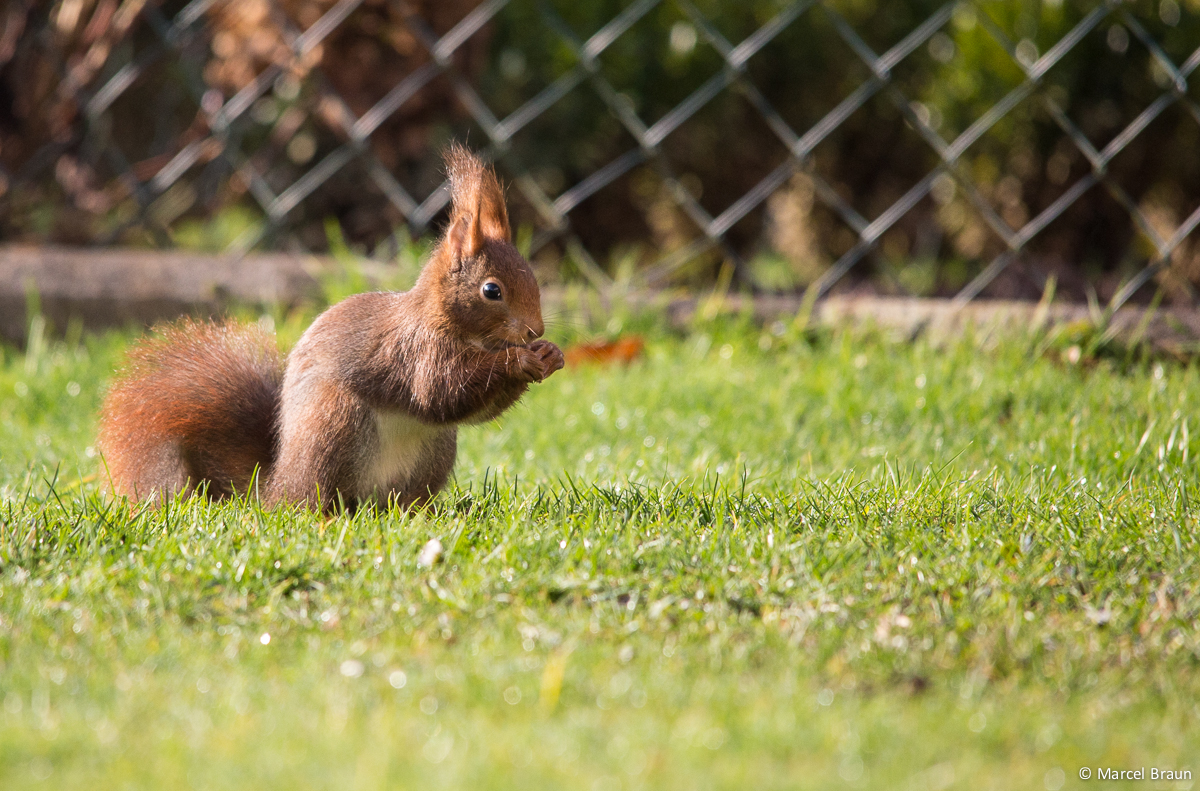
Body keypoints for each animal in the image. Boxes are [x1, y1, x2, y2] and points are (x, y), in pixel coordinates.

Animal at [96, 144, 564, 513]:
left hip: (434, 453)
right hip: (335, 423)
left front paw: (550, 354)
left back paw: (415, 513)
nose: (534, 330)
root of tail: (274, 486)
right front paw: (519, 360)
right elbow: (441, 392)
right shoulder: (413, 353)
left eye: (534, 279)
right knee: (313, 502)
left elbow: (475, 409)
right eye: (492, 290)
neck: (456, 330)